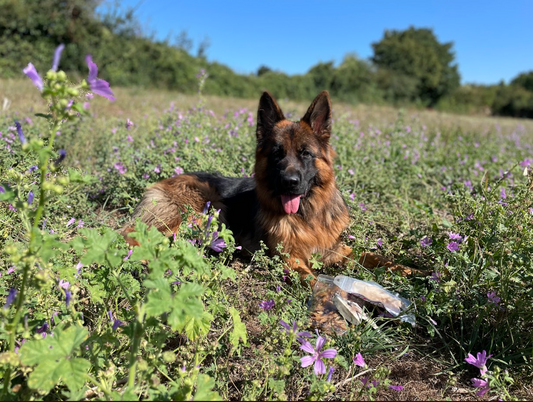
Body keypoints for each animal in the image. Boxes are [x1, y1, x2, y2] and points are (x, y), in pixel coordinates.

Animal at [122, 92, 406, 286]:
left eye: (305, 153)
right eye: (277, 154)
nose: (289, 182)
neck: (307, 216)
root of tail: (162, 181)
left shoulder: (335, 249)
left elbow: (373, 256)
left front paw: (408, 270)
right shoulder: (289, 257)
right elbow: (313, 280)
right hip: (207, 209)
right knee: (133, 237)